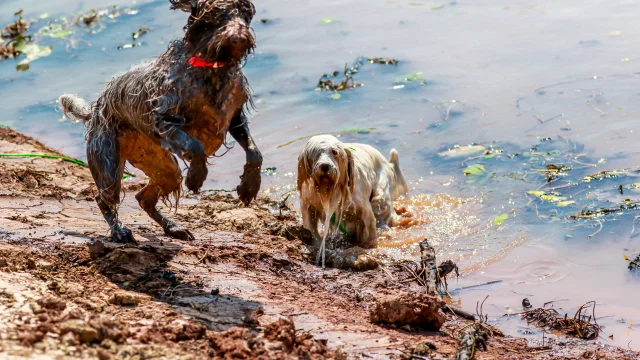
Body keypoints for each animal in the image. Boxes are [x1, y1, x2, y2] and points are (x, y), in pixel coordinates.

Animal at [57, 0, 262, 243]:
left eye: (245, 14)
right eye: (215, 15)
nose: (238, 38)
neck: (210, 69)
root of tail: (95, 109)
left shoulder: (234, 117)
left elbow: (254, 153)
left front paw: (249, 186)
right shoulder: (164, 120)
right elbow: (196, 146)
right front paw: (196, 176)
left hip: (164, 169)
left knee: (143, 198)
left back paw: (172, 227)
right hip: (108, 167)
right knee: (103, 198)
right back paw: (119, 231)